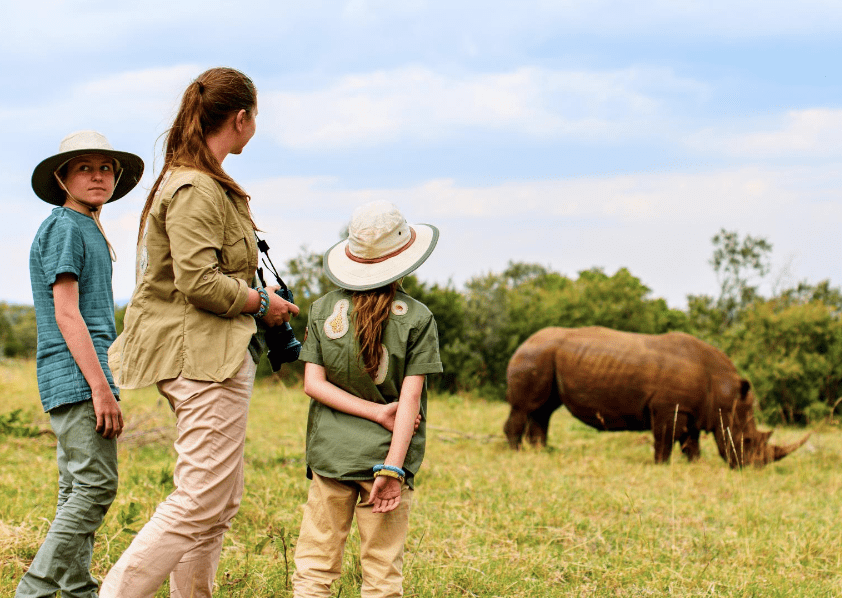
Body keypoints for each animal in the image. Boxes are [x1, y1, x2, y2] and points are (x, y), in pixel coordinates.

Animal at [504, 327, 809, 467]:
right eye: (746, 441)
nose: (753, 468)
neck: (723, 390)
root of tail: (524, 341)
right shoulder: (668, 407)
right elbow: (665, 439)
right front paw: (662, 465)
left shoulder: (693, 410)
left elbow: (691, 442)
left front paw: (694, 464)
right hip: (534, 356)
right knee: (525, 407)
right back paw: (517, 453)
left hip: (544, 355)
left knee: (543, 410)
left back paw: (541, 452)